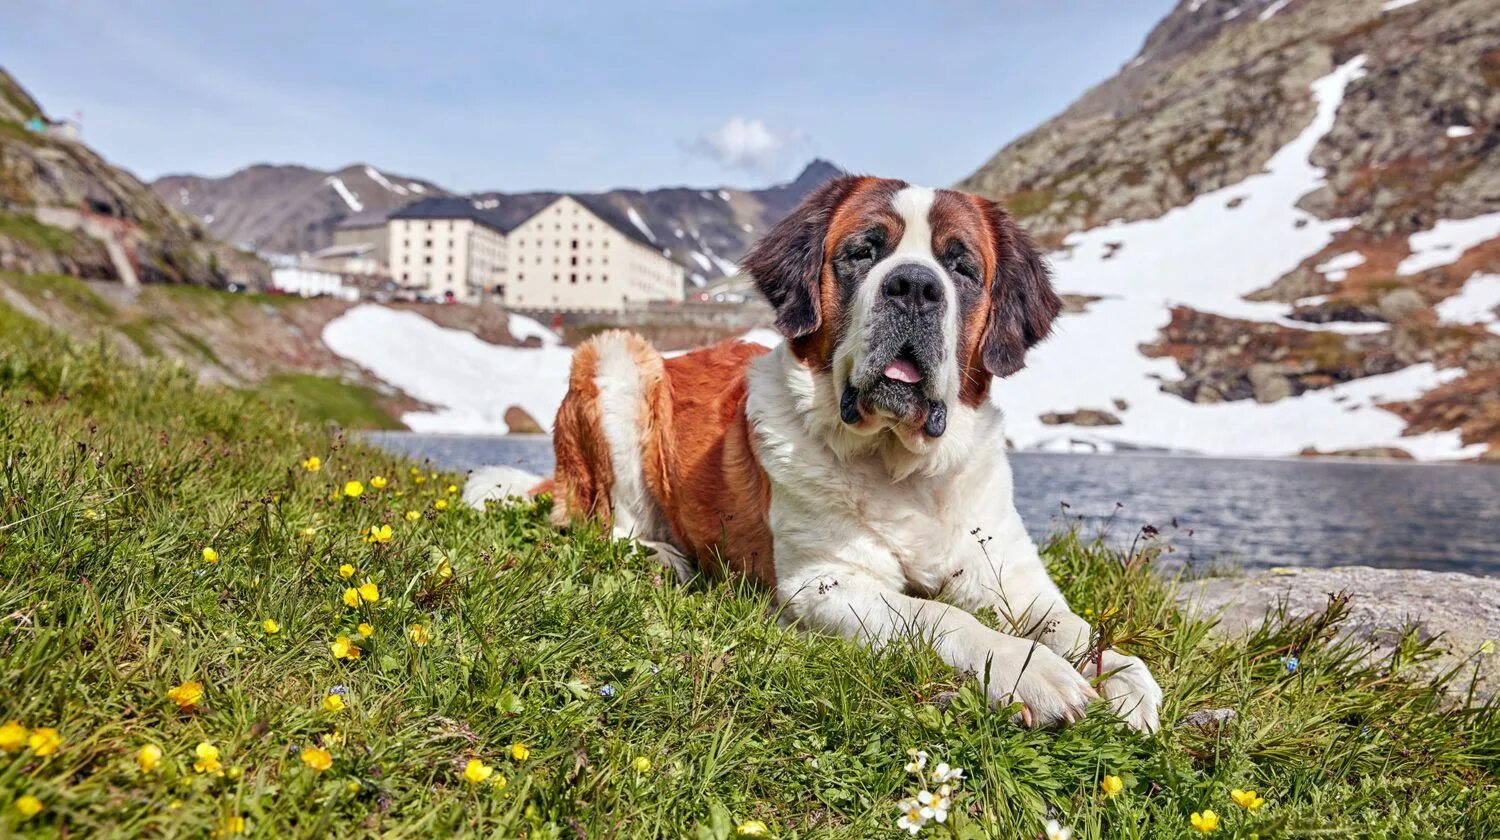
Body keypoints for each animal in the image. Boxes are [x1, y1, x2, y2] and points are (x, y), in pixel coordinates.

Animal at [468, 177, 1158, 729]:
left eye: (961, 268)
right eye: (863, 252)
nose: (914, 286)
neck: (903, 470)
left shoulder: (1012, 578)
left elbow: (1072, 626)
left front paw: (1125, 678)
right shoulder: (824, 582)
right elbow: (939, 617)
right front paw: (1031, 671)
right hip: (615, 358)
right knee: (606, 525)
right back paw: (663, 556)